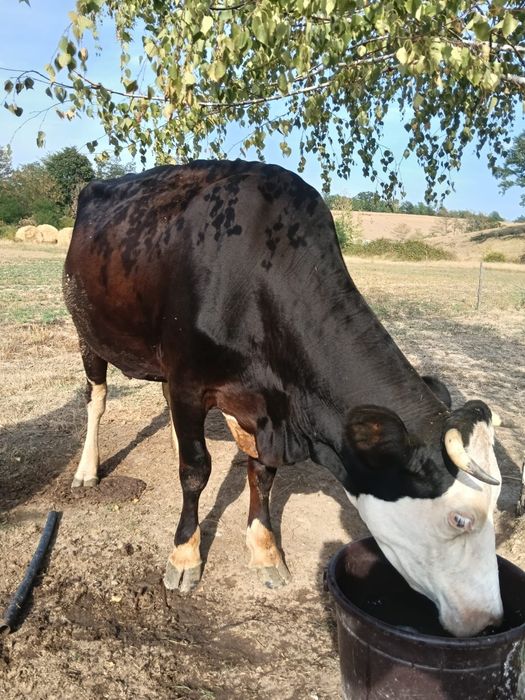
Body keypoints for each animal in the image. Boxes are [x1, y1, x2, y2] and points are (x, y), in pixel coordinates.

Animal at [63, 160, 503, 637]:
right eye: (459, 518)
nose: (490, 619)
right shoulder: (188, 380)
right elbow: (196, 471)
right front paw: (184, 555)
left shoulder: (261, 402)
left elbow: (262, 473)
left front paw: (265, 550)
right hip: (87, 330)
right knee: (97, 398)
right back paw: (87, 470)